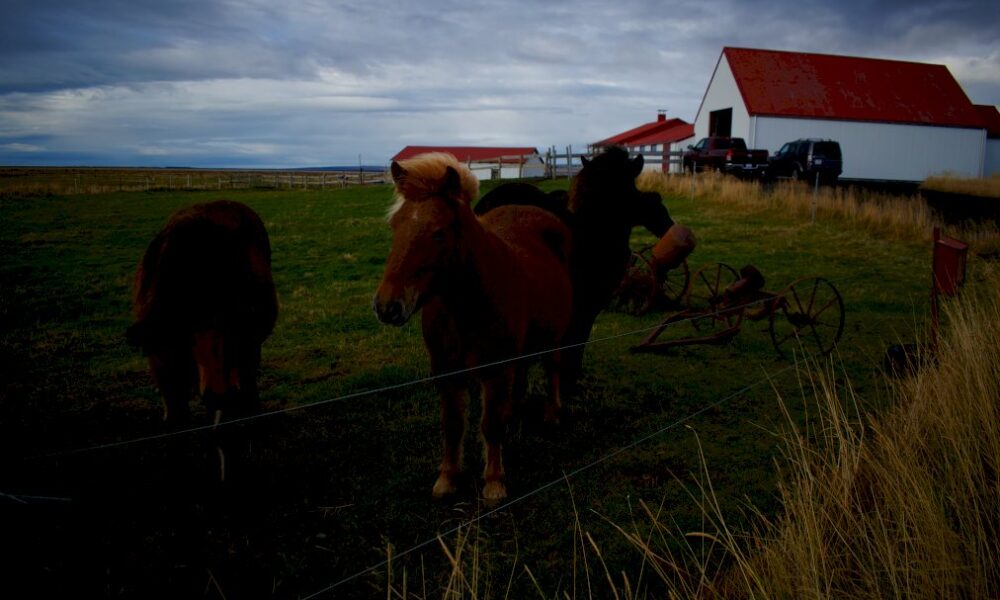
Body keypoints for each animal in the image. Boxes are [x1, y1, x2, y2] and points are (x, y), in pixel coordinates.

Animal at [127, 200, 278, 477]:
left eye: (239, 316)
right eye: (184, 320)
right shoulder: (161, 361)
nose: (220, 393)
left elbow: (222, 429)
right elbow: (177, 422)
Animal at [373, 153, 573, 501]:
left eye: (439, 232)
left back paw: (552, 413)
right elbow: (453, 424)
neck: (465, 306)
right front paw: (448, 478)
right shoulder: (446, 370)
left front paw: (494, 482)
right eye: (394, 226)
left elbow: (490, 425)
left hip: (554, 337)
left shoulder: (495, 370)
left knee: (553, 368)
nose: (388, 306)